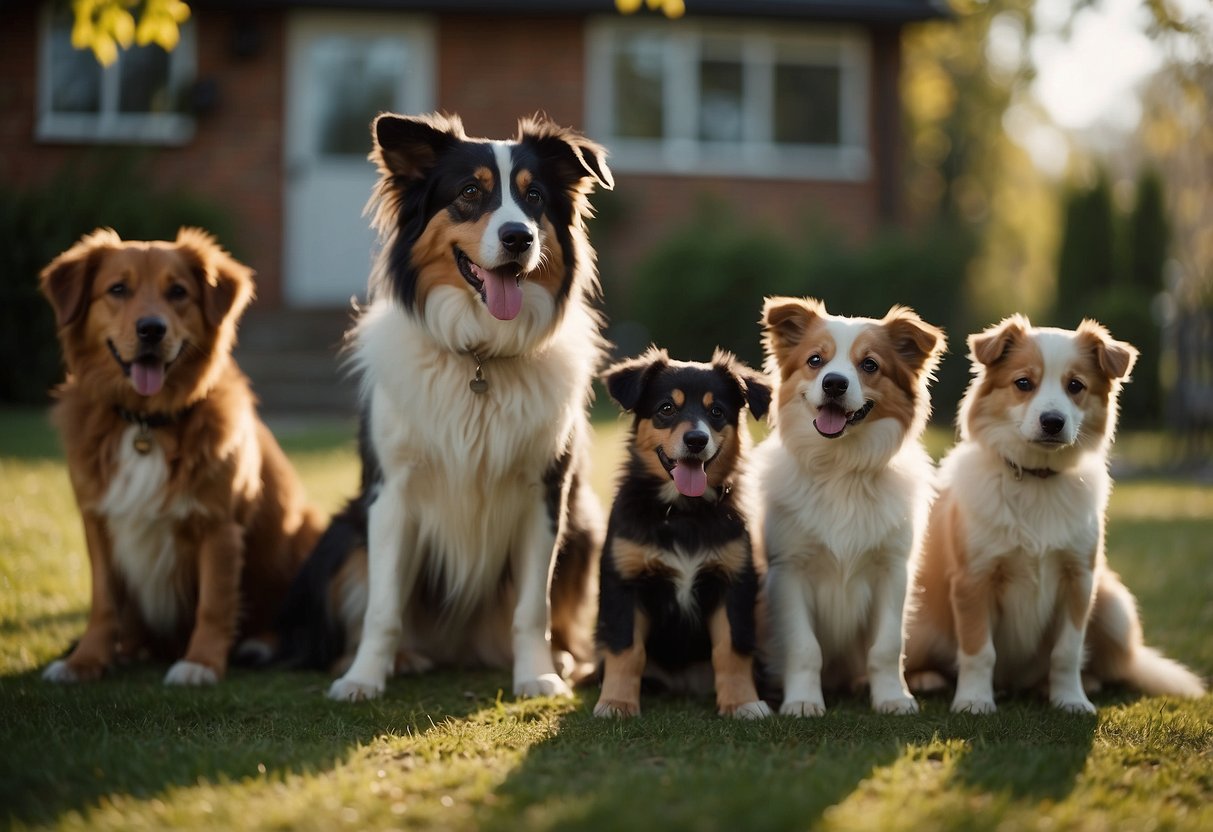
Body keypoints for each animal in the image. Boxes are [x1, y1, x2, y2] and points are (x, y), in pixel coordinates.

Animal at [39, 228, 322, 684]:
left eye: (178, 292)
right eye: (117, 289)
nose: (152, 329)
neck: (146, 425)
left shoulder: (219, 525)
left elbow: (214, 603)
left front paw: (200, 663)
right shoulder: (97, 522)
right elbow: (103, 603)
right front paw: (85, 660)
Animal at [591, 349, 771, 717]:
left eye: (716, 411)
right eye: (666, 409)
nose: (696, 440)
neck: (683, 513)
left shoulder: (734, 581)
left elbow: (732, 648)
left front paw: (742, 702)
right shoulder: (624, 581)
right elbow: (626, 648)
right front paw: (617, 702)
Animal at [756, 294, 946, 717]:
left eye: (869, 365)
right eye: (815, 360)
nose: (834, 383)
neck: (841, 468)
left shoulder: (893, 571)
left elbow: (888, 646)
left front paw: (892, 697)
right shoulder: (789, 570)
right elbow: (804, 647)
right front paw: (803, 700)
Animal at [907, 315, 1208, 713]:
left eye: (1075, 385)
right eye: (1023, 383)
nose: (1052, 421)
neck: (1038, 479)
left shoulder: (1079, 577)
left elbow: (1067, 652)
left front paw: (1071, 700)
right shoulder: (974, 578)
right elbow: (978, 650)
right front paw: (974, 701)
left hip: (1114, 605)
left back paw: (1070, 685)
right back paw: (927, 678)